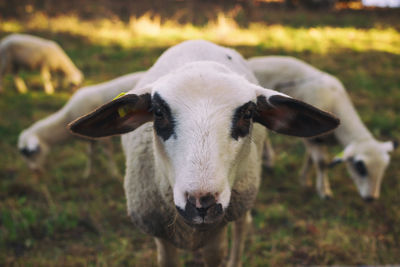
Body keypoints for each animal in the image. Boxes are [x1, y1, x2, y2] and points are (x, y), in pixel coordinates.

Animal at [69, 38, 338, 266]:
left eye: (248, 114)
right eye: (158, 112)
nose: (201, 201)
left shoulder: (217, 226)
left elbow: (216, 254)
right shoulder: (160, 232)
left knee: (243, 227)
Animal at [248, 55, 398, 201]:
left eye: (384, 168)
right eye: (360, 167)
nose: (371, 198)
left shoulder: (315, 137)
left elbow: (310, 159)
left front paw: (304, 179)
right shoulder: (312, 138)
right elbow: (321, 163)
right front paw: (324, 191)